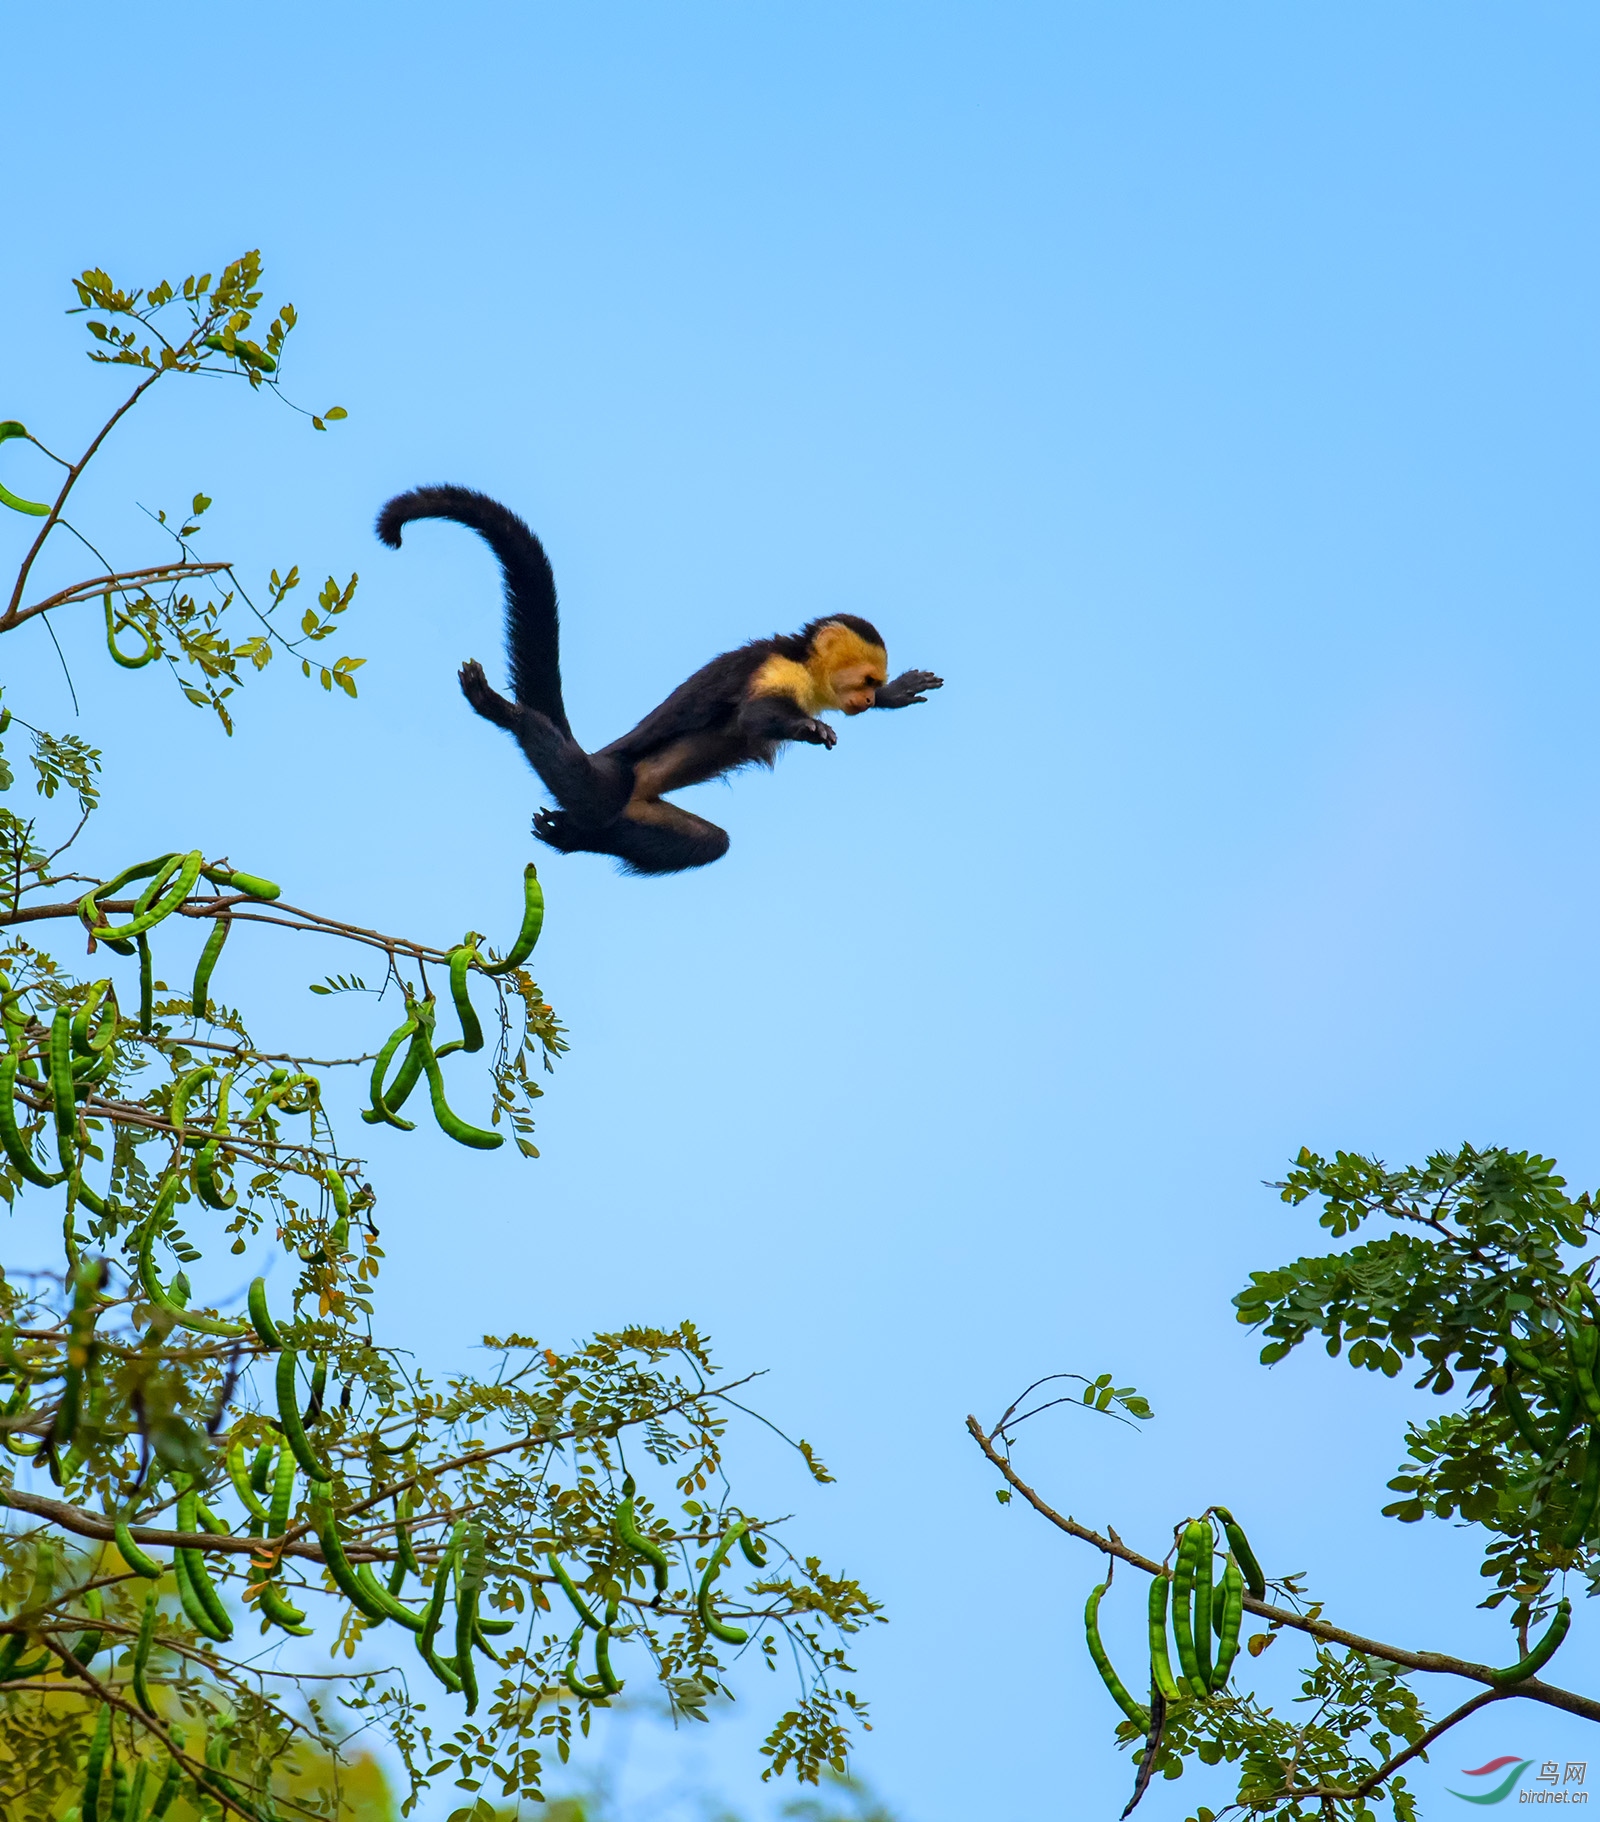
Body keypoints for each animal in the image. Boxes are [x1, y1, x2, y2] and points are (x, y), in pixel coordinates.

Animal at [377, 488, 947, 878]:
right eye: (866, 678)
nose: (870, 695)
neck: (804, 666)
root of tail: (599, 759)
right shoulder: (775, 669)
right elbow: (756, 715)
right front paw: (810, 728)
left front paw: (895, 696)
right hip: (608, 780)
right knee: (584, 784)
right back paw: (509, 715)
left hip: (635, 810)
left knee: (704, 842)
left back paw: (576, 838)